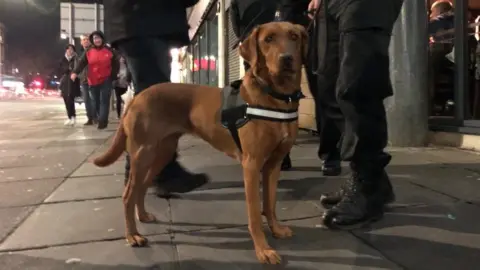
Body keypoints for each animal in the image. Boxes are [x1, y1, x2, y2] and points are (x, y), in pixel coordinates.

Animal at [93, 21, 308, 266]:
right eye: (269, 39)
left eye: (294, 37)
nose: (287, 58)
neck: (276, 96)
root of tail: (137, 97)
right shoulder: (252, 165)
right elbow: (254, 213)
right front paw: (263, 249)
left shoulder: (274, 164)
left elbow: (270, 204)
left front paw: (276, 230)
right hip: (142, 153)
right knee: (128, 194)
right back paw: (133, 236)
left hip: (161, 152)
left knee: (142, 186)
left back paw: (143, 216)